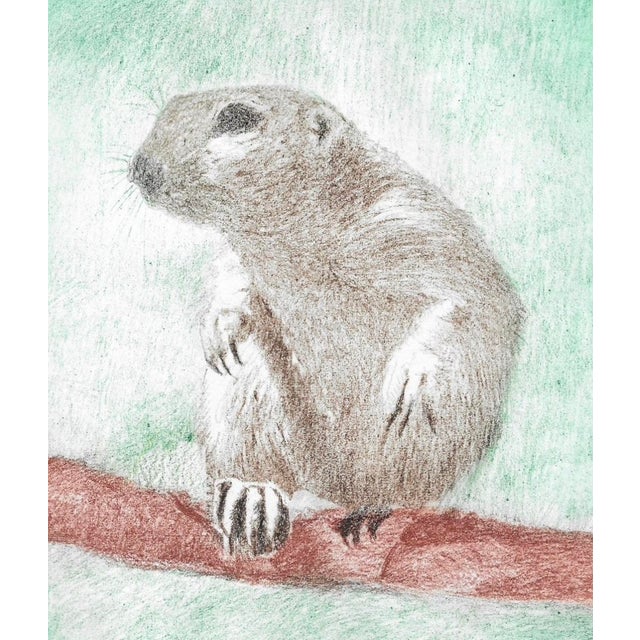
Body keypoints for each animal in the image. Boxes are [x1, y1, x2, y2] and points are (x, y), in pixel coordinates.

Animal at [129, 86, 524, 556]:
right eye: (166, 111)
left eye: (237, 117)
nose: (140, 167)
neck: (290, 241)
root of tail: (335, 486)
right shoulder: (244, 259)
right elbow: (231, 281)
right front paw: (219, 328)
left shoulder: (413, 220)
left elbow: (471, 298)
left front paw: (412, 377)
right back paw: (250, 494)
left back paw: (374, 506)